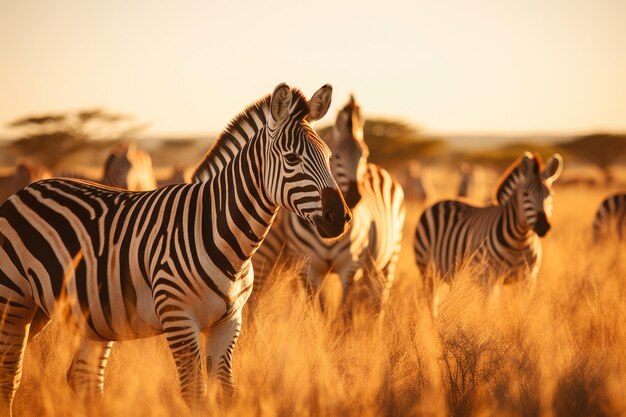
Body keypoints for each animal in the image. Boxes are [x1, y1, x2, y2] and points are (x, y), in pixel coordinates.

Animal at [0, 82, 348, 412]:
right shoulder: (179, 319)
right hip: (14, 300)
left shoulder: (229, 322)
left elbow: (225, 393)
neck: (222, 235)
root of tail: (26, 189)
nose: (341, 218)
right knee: (9, 376)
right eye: (292, 159)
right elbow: (195, 394)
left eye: (329, 156)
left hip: (79, 313)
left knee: (82, 376)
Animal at [252, 95, 404, 316]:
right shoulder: (308, 268)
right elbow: (320, 311)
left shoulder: (350, 267)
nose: (354, 197)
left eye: (365, 154)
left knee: (379, 302)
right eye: (336, 157)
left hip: (390, 259)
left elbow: (344, 313)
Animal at [412, 151, 564, 308]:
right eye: (525, 195)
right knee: (431, 301)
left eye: (550, 195)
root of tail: (439, 202)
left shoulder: (528, 279)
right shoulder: (486, 278)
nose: (543, 226)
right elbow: (487, 310)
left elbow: (523, 306)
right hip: (427, 269)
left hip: (449, 273)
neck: (519, 241)